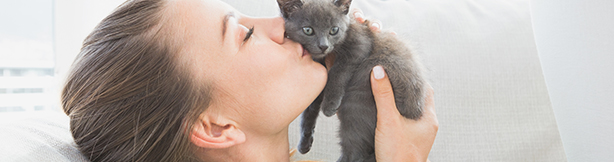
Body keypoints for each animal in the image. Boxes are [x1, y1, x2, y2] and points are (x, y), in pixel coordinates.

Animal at [280, 0, 428, 160]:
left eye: (334, 30)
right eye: (308, 30)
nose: (323, 46)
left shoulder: (360, 45)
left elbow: (338, 71)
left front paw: (329, 105)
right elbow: (310, 109)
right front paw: (304, 142)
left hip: (356, 100)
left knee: (355, 152)